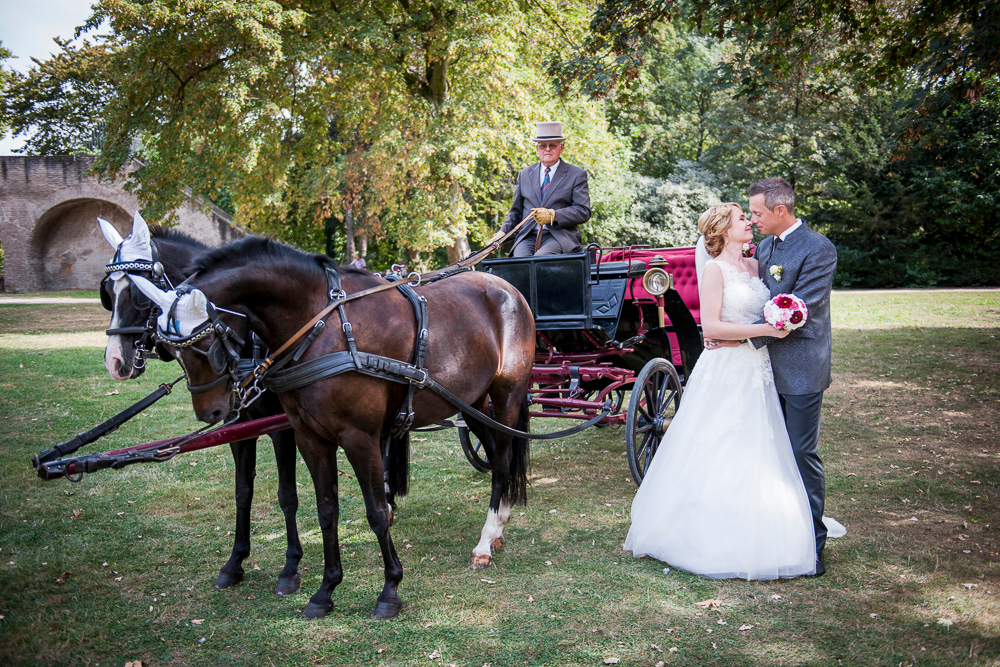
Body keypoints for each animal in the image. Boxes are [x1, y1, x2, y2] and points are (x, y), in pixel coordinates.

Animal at [98, 215, 302, 596]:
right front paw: (235, 562)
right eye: (107, 293)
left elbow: (287, 495)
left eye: (137, 294)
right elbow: (242, 491)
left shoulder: (283, 429)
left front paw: (291, 566)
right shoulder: (236, 428)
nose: (115, 362)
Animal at [135, 236, 540, 620]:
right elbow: (326, 510)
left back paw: (485, 541)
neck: (321, 326)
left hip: (505, 397)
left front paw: (389, 591)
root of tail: (506, 288)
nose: (212, 411)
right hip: (471, 403)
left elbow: (376, 512)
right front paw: (325, 591)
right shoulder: (308, 437)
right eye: (174, 349)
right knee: (497, 455)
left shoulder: (359, 437)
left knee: (501, 463)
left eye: (207, 346)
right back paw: (498, 527)